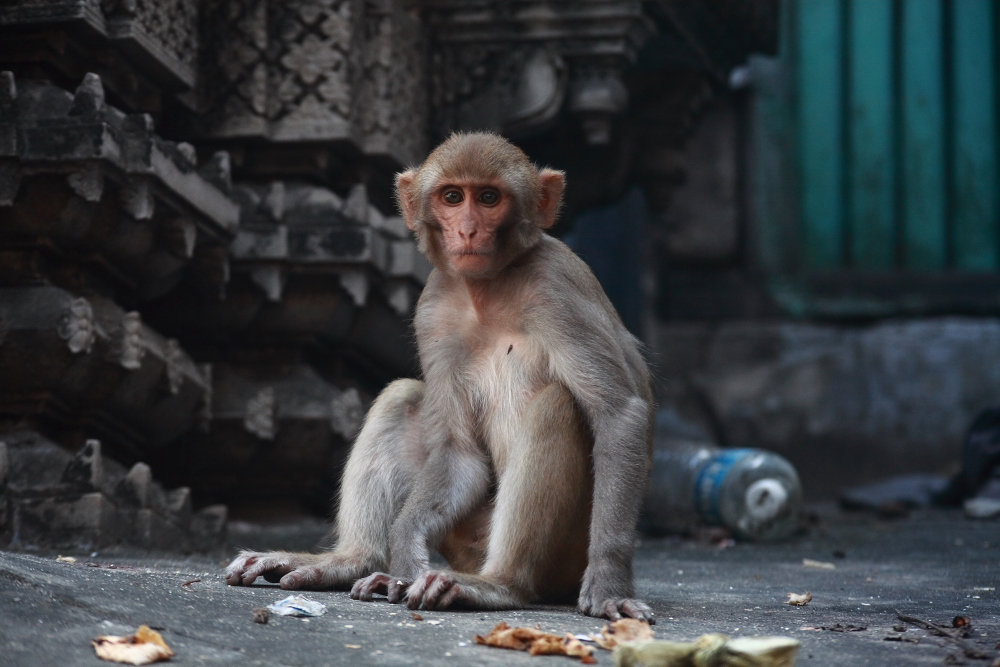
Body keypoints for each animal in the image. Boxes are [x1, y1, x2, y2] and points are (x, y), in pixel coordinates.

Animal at [223, 133, 652, 624]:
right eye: (452, 197)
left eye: (488, 198)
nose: (467, 230)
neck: (489, 288)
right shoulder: (434, 308)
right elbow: (457, 450)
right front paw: (403, 558)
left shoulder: (556, 286)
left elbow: (619, 414)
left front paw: (609, 583)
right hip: (466, 537)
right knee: (403, 395)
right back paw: (351, 561)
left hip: (561, 556)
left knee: (555, 404)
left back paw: (500, 584)